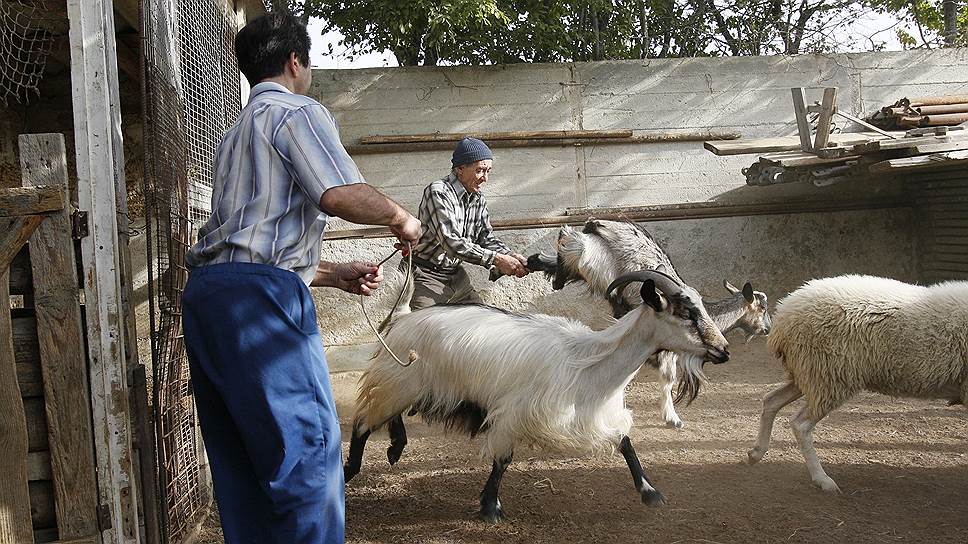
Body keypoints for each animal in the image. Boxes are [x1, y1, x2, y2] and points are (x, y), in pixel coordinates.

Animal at [344, 268, 728, 524]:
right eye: (686, 312)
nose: (723, 350)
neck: (589, 362)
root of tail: (404, 317)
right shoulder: (513, 412)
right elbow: (502, 460)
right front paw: (491, 509)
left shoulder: (600, 414)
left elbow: (626, 444)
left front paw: (651, 493)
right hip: (399, 380)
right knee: (363, 423)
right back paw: (350, 470)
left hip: (407, 384)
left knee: (387, 415)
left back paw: (395, 447)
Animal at [524, 219, 776, 428]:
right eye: (762, 308)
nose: (768, 328)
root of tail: (596, 226)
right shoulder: (669, 346)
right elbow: (668, 379)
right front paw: (672, 418)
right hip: (591, 260)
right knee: (568, 242)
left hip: (583, 266)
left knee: (547, 258)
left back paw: (538, 265)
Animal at [748, 276, 968, 492]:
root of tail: (784, 316)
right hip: (829, 376)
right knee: (800, 424)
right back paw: (823, 480)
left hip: (811, 373)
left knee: (771, 400)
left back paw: (756, 453)